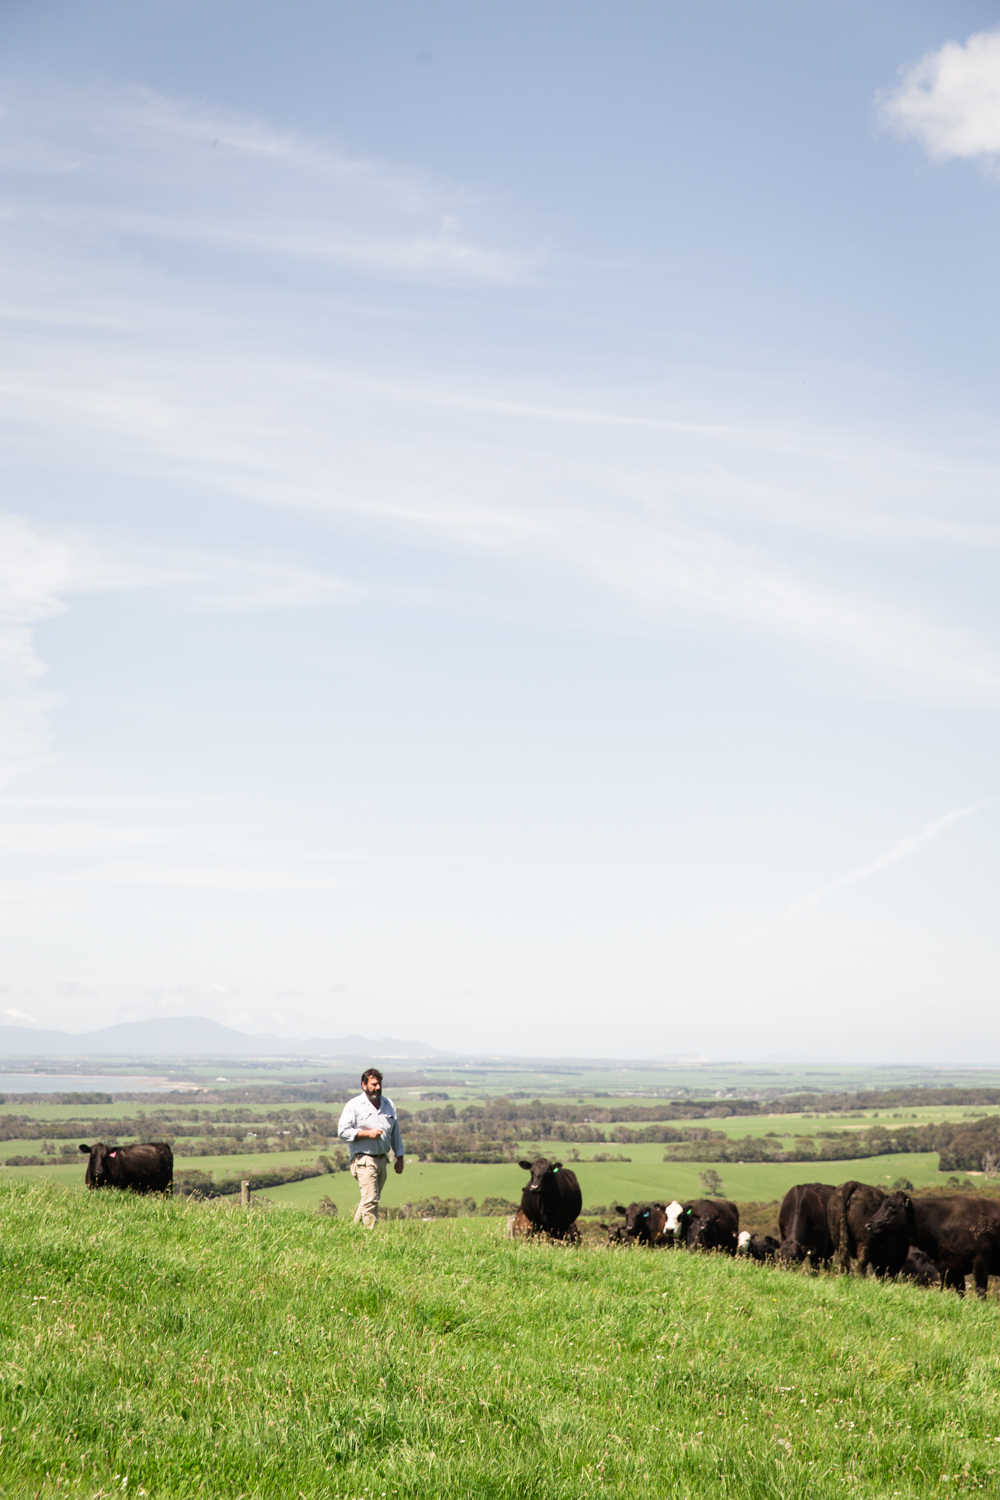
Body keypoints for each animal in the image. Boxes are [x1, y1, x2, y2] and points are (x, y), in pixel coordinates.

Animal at [863, 1188, 1000, 1296]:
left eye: (892, 1206)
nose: (868, 1225)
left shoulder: (980, 1262)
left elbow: (981, 1291)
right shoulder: (953, 1268)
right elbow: (960, 1293)